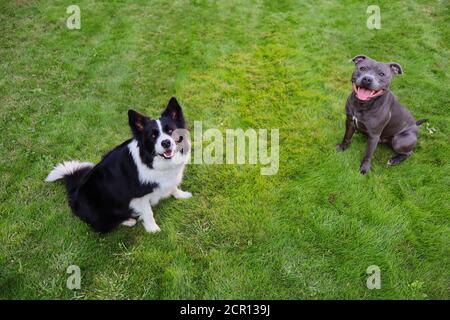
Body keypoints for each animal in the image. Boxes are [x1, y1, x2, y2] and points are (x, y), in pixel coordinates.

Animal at [45, 97, 192, 232]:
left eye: (171, 130)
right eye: (153, 136)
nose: (166, 143)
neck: (152, 161)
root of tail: (74, 193)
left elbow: (173, 186)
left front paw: (181, 195)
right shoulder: (139, 195)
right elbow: (148, 212)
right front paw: (153, 229)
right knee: (102, 225)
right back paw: (128, 220)